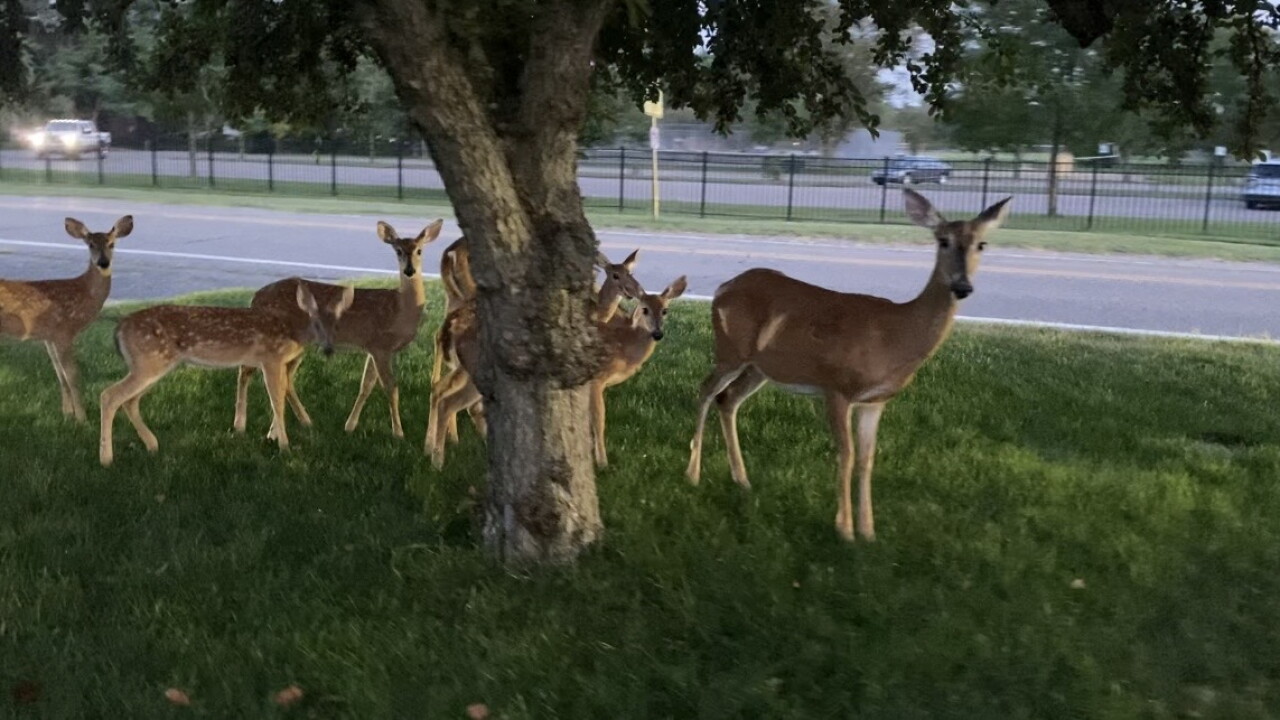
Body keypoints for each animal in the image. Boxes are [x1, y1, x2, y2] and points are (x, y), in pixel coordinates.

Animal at [0, 215, 133, 422]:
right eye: (90, 244)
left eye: (112, 244)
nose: (103, 262)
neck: (84, 293)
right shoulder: (63, 331)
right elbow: (72, 375)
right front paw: (81, 418)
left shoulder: (49, 337)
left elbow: (60, 374)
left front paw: (67, 413)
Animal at [100, 282, 354, 466]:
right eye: (317, 323)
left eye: (338, 325)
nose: (329, 349)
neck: (291, 331)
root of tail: (119, 327)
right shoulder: (270, 358)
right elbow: (276, 402)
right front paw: (284, 447)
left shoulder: (277, 363)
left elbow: (280, 397)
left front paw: (274, 438)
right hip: (148, 363)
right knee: (109, 395)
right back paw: (106, 459)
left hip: (154, 365)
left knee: (129, 401)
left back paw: (152, 445)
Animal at [236, 219, 444, 439]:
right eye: (398, 251)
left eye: (419, 250)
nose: (409, 270)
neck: (401, 309)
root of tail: (255, 298)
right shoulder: (381, 346)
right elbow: (391, 388)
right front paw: (398, 433)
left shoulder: (372, 347)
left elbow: (366, 385)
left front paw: (350, 426)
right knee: (248, 370)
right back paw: (241, 425)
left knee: (283, 378)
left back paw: (289, 427)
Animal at [423, 254, 650, 468]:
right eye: (615, 275)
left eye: (631, 273)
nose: (636, 291)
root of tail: (449, 327)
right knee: (452, 397)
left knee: (440, 388)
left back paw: (438, 445)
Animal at [685, 189, 1012, 542]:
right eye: (943, 240)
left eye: (982, 243)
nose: (962, 286)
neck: (896, 334)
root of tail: (722, 287)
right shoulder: (836, 387)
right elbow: (847, 454)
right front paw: (844, 529)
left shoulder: (875, 401)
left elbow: (867, 459)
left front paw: (868, 531)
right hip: (729, 350)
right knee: (705, 390)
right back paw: (693, 473)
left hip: (759, 368)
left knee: (727, 399)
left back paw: (742, 480)